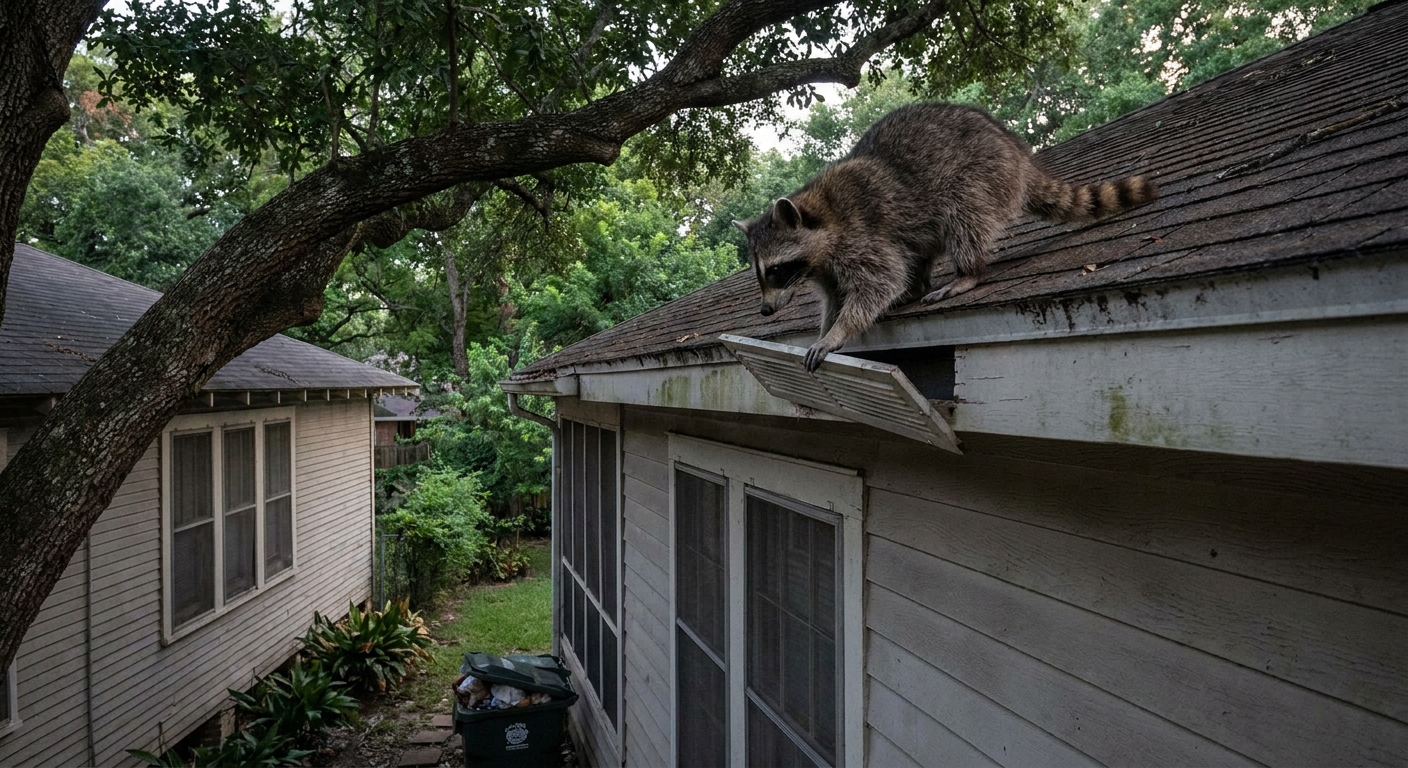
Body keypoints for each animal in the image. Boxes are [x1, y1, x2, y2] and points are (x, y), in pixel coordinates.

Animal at [734, 102, 1157, 371]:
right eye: (760, 274)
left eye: (774, 271)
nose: (765, 311)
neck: (819, 215)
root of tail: (1018, 154)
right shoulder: (823, 264)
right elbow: (836, 296)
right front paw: (826, 326)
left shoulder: (859, 234)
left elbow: (878, 281)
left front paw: (837, 332)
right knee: (918, 248)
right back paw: (917, 285)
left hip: (982, 173)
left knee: (962, 215)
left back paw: (967, 273)